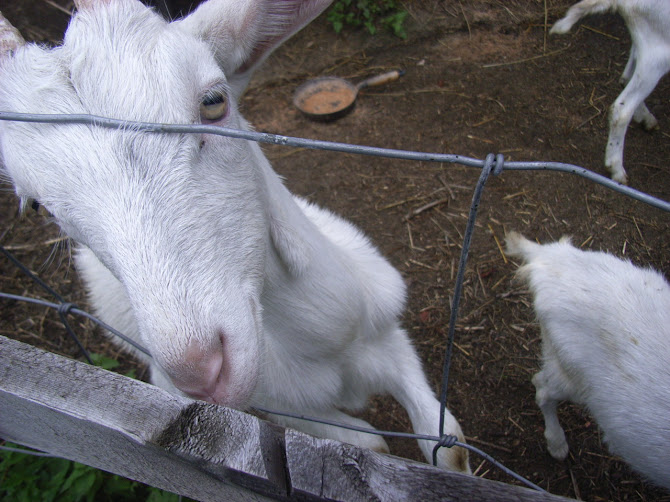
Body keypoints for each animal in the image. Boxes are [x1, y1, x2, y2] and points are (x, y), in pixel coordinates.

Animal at [0, 0, 472, 472]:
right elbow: (373, 445)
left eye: (214, 102)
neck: (329, 345)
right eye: (36, 205)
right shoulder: (283, 408)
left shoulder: (389, 336)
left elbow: (449, 446)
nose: (202, 371)